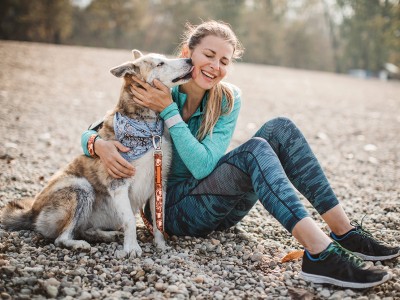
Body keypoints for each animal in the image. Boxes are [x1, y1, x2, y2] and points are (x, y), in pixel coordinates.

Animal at [0, 49, 194, 258]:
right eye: (160, 64)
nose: (190, 60)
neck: (148, 129)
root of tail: (32, 213)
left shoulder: (160, 183)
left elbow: (160, 221)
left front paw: (161, 245)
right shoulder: (118, 184)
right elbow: (130, 220)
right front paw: (132, 248)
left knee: (83, 229)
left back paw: (106, 235)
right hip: (81, 188)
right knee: (62, 237)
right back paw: (80, 244)